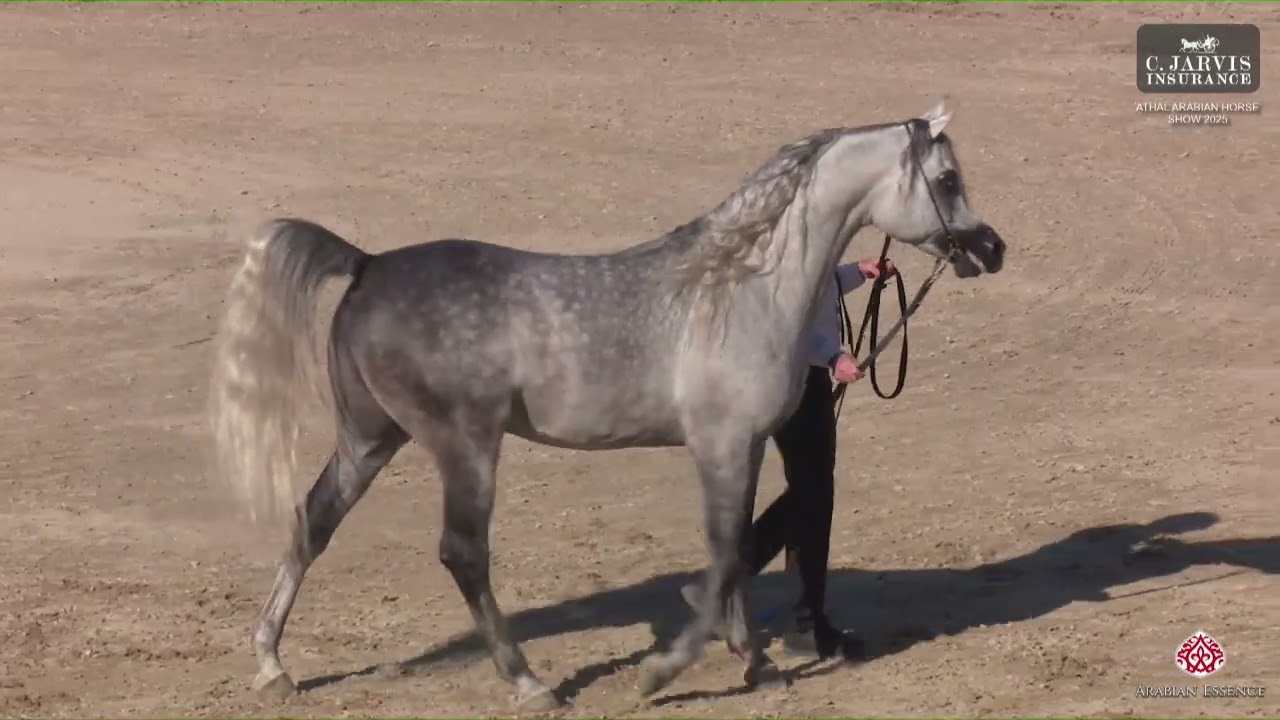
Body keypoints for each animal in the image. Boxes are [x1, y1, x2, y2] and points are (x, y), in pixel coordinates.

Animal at [208, 101, 1006, 712]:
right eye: (947, 177)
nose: (991, 249)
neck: (744, 288)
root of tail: (367, 264)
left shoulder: (745, 448)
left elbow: (738, 549)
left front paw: (755, 661)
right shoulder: (720, 445)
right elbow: (724, 554)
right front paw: (666, 672)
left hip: (370, 439)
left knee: (312, 523)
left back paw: (273, 667)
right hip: (464, 444)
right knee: (463, 553)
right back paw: (531, 685)